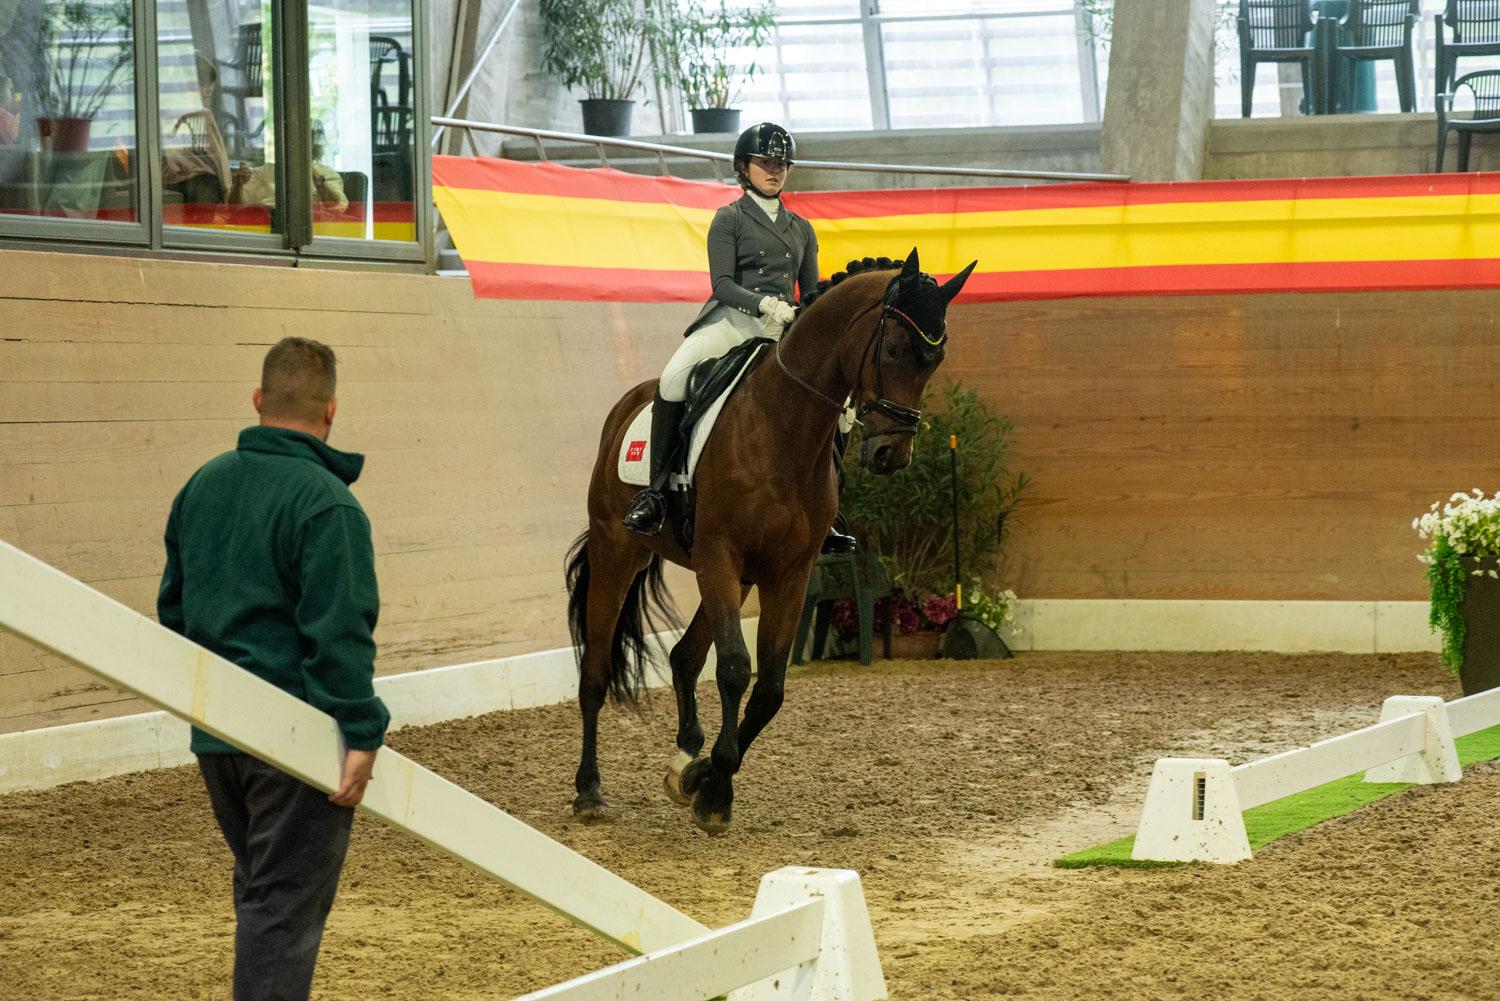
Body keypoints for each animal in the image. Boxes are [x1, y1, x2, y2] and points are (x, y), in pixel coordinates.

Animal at [564, 247, 977, 834]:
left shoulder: (789, 574)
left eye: (935, 361)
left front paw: (708, 779)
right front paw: (714, 792)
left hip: (731, 580)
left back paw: (683, 761)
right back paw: (589, 791)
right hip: (619, 552)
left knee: (684, 657)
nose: (890, 456)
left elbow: (769, 689)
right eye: (894, 348)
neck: (785, 427)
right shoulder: (719, 554)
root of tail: (627, 405)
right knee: (596, 670)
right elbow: (736, 669)